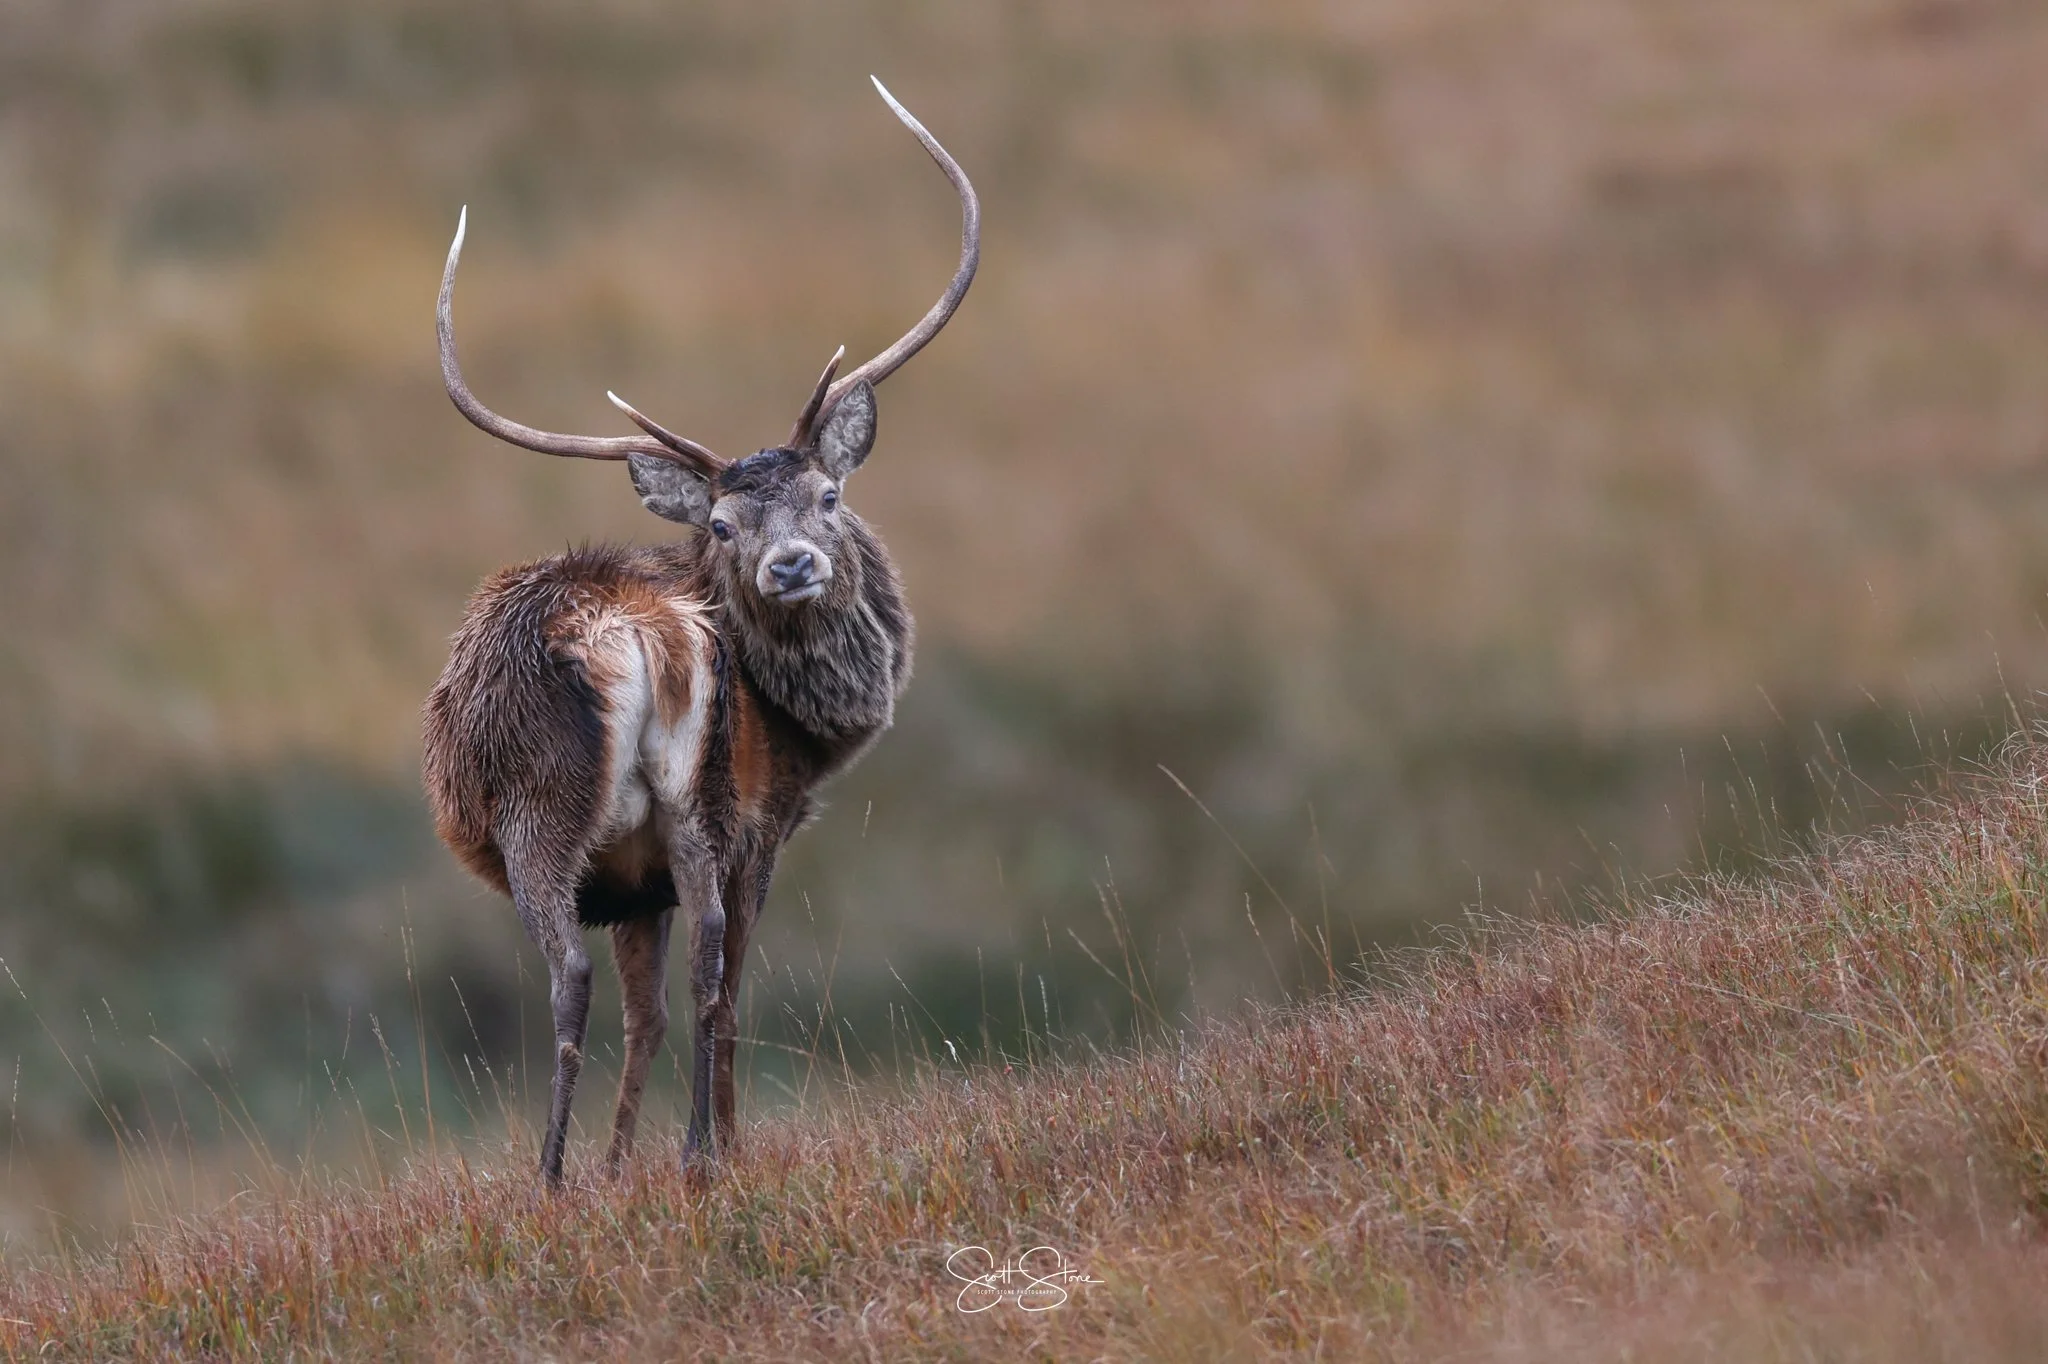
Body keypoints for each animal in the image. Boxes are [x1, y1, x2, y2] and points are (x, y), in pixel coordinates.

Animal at [421, 78, 977, 1187]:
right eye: (722, 523)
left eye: (828, 495)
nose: (791, 563)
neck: (810, 735)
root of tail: (635, 633)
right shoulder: (666, 865)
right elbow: (667, 1010)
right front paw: (637, 1159)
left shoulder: (754, 824)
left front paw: (624, 1163)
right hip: (684, 802)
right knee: (705, 961)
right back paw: (687, 1154)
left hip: (547, 809)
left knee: (575, 975)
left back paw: (556, 1177)